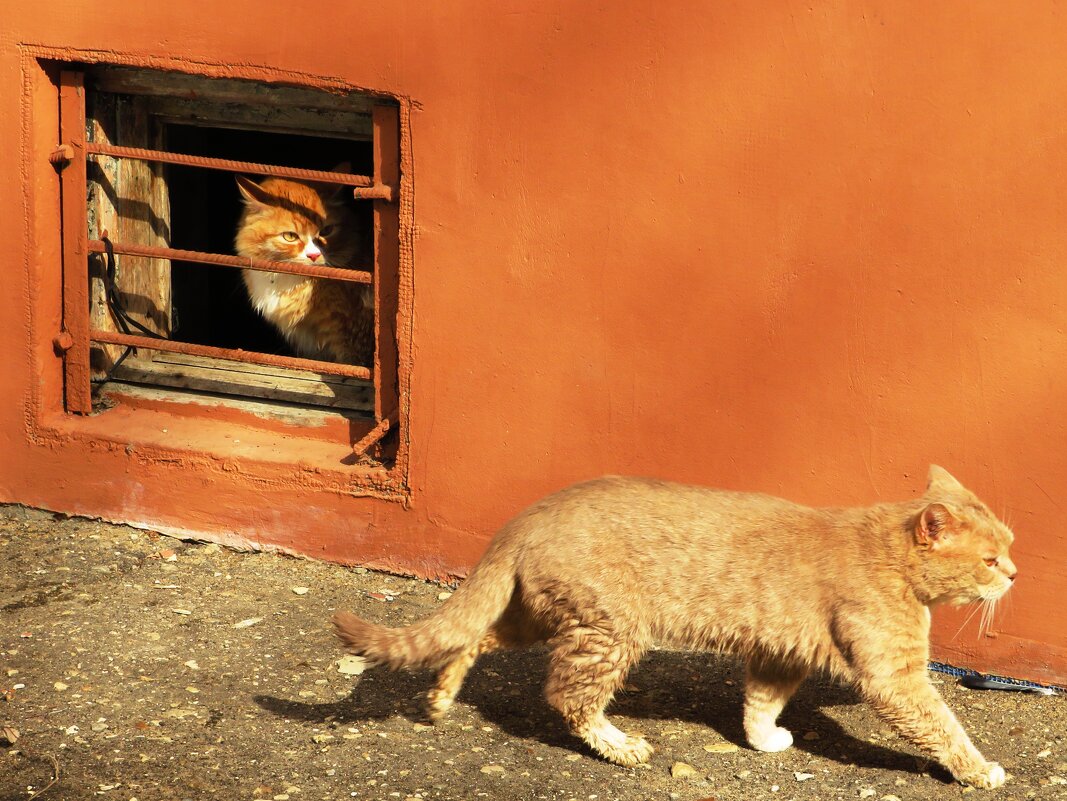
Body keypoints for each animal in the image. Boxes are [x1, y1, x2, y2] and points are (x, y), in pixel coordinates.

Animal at [332, 467, 1015, 785]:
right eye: (990, 558)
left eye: (1009, 545)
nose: (1013, 574)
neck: (889, 554)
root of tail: (529, 515)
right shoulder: (892, 675)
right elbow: (943, 726)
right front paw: (980, 771)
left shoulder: (780, 651)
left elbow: (761, 702)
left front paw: (764, 740)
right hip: (610, 630)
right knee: (568, 696)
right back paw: (621, 745)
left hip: (539, 612)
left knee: (473, 635)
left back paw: (441, 695)